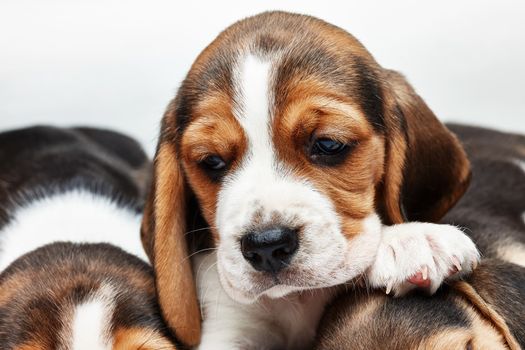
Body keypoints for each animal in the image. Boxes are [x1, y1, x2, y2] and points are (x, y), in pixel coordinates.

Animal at [139, 10, 478, 350]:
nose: (266, 246)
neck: (298, 300)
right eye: (212, 161)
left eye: (329, 144)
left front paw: (407, 239)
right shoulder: (228, 328)